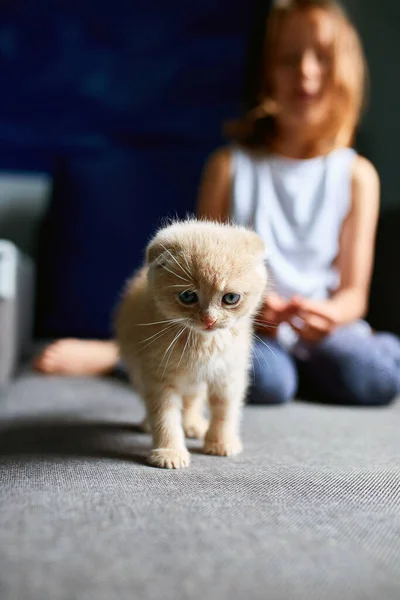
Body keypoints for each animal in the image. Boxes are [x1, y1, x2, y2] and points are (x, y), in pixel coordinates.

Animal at [114, 220, 268, 468]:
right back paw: (149, 424)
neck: (202, 344)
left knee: (193, 399)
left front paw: (221, 442)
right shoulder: (158, 376)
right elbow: (164, 415)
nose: (209, 319)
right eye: (188, 296)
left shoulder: (228, 374)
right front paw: (169, 452)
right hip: (137, 369)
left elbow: (225, 410)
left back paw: (193, 425)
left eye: (230, 298)